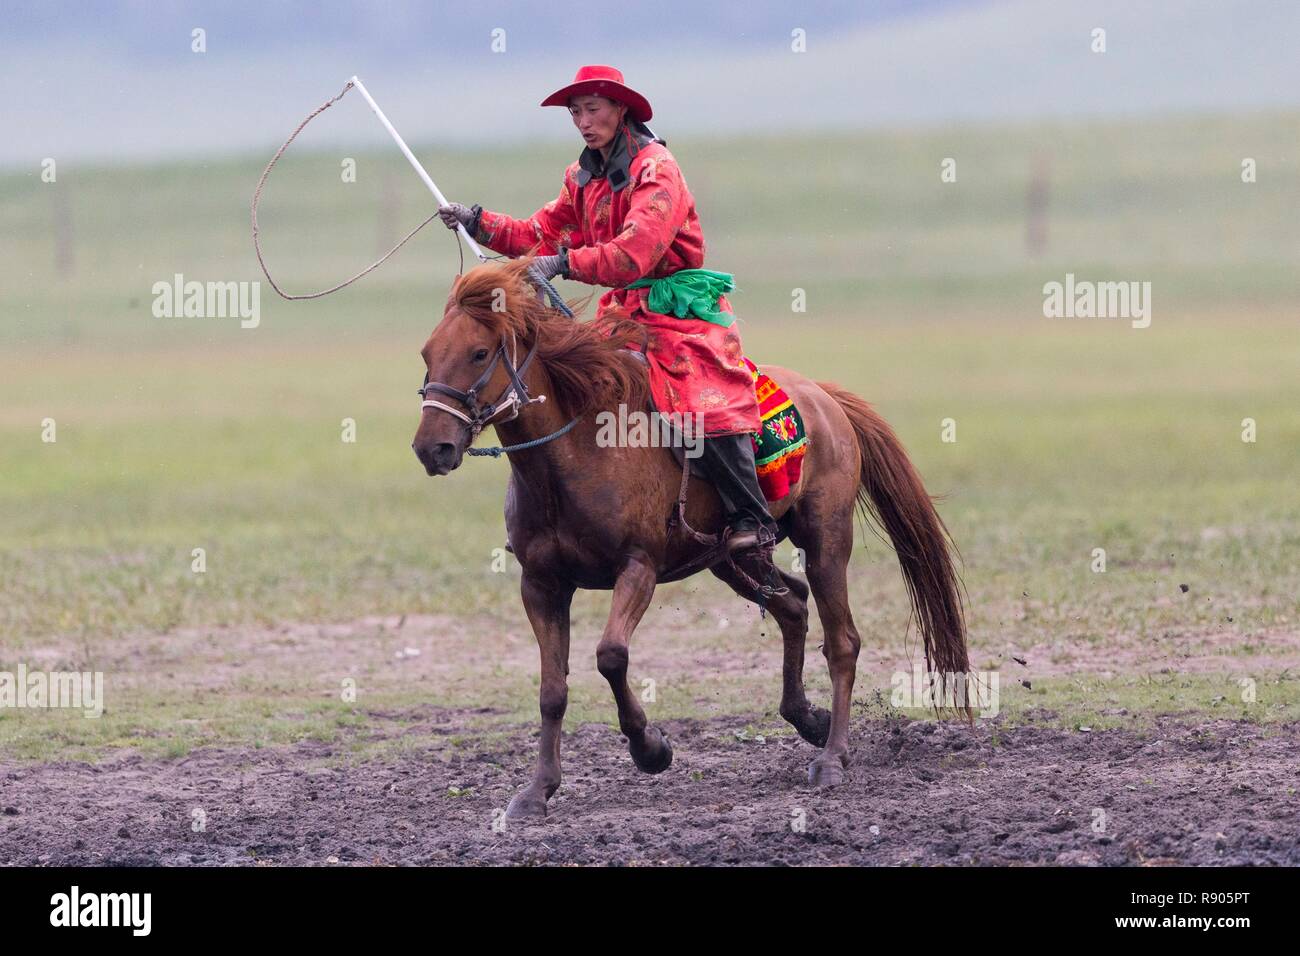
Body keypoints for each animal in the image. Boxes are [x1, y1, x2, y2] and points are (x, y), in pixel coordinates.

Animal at [411, 257, 970, 820]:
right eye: (427, 353)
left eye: (479, 353)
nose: (431, 448)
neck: (574, 453)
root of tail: (822, 395)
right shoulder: (542, 584)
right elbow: (552, 690)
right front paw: (537, 790)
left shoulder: (638, 568)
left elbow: (611, 655)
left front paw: (650, 749)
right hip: (732, 558)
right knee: (792, 605)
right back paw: (807, 719)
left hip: (826, 542)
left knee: (842, 642)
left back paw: (832, 757)